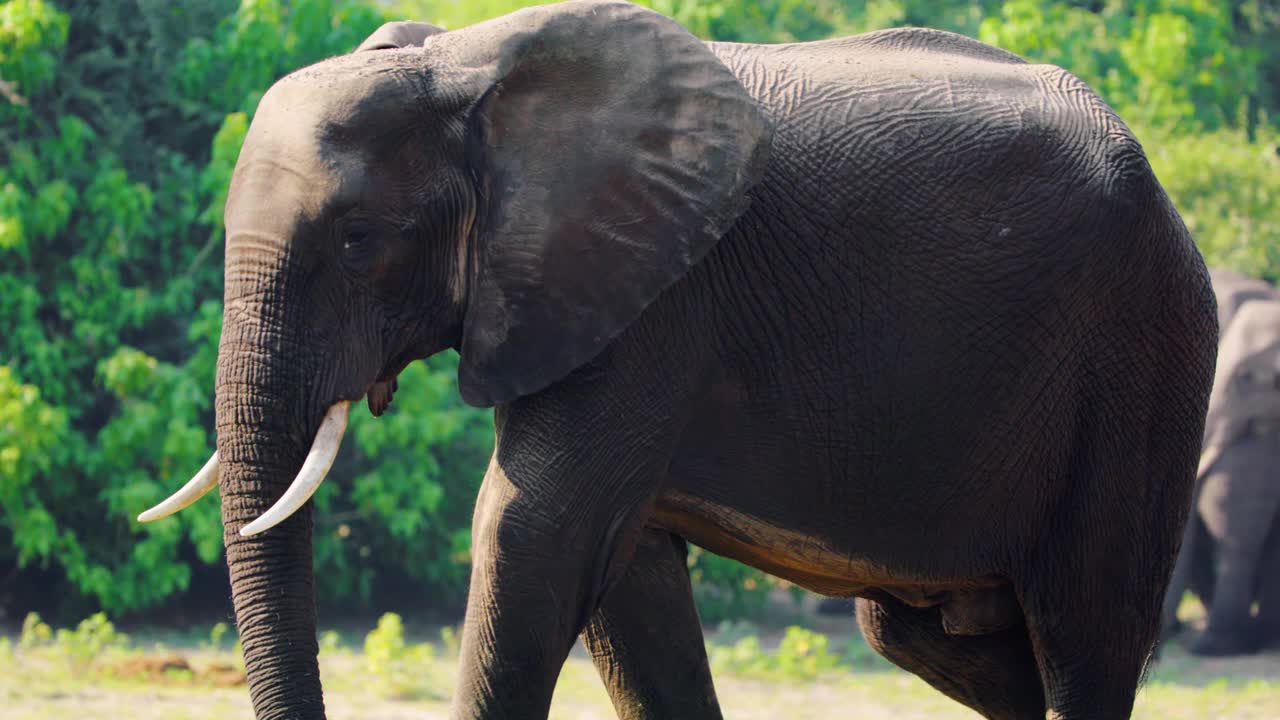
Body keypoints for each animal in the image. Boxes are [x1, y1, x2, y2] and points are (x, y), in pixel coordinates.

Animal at [140, 2, 1218, 712]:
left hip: (1140, 360)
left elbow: (530, 532)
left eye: (359, 240)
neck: (460, 67)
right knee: (946, 642)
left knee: (1085, 629)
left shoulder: (655, 301)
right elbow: (629, 582)